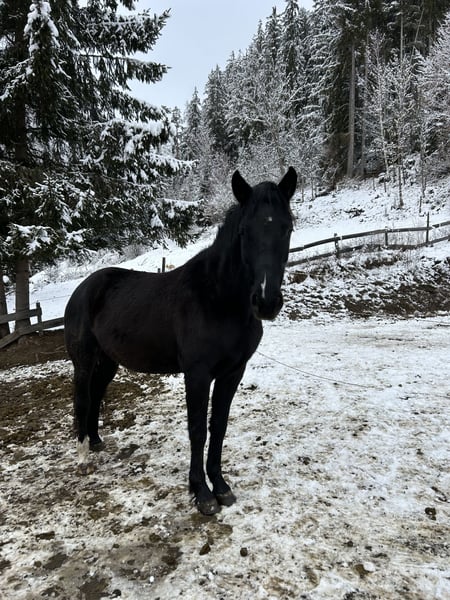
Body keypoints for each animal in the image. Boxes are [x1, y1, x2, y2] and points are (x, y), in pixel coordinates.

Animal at [64, 167, 297, 515]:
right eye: (244, 231)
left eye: (288, 227)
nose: (266, 302)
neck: (217, 297)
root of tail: (84, 288)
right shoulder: (197, 375)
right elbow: (197, 430)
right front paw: (202, 493)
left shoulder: (232, 373)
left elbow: (218, 426)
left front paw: (221, 487)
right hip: (83, 360)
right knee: (82, 400)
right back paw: (83, 460)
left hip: (108, 363)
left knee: (97, 396)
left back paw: (96, 443)